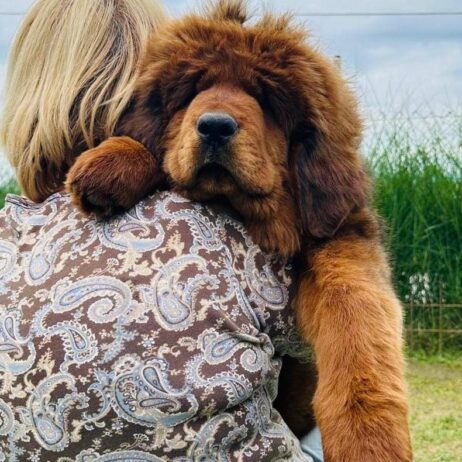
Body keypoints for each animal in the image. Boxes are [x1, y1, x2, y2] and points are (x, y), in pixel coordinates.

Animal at [66, 1, 412, 460]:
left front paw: (369, 434)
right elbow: (155, 151)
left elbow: (355, 309)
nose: (214, 126)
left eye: (265, 100)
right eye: (192, 92)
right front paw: (112, 161)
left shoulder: (343, 233)